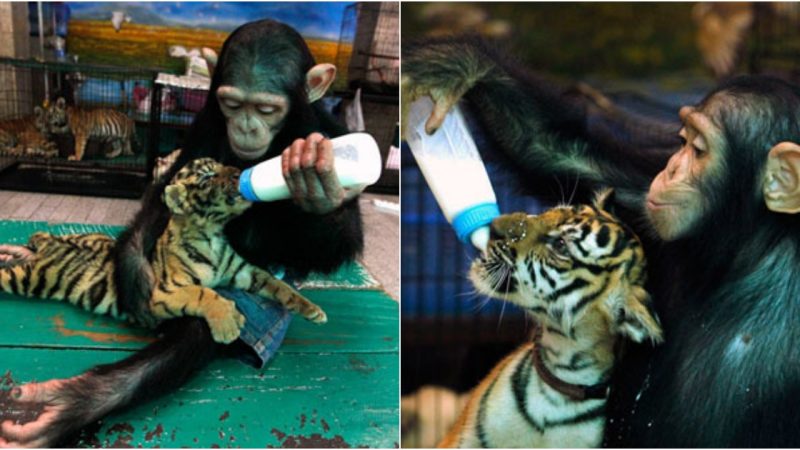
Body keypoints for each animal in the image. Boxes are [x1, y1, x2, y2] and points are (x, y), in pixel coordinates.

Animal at [0, 19, 362, 448]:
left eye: (267, 109)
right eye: (232, 105)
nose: (239, 174)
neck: (214, 234)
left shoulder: (246, 271)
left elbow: (278, 285)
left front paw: (311, 308)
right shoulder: (167, 291)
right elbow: (203, 293)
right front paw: (227, 319)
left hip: (85, 242)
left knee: (46, 241)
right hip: (28, 279)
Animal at [406, 37, 800, 446]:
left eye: (700, 150)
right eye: (683, 141)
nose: (672, 169)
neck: (742, 253)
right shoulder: (643, 191)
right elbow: (565, 152)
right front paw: (452, 65)